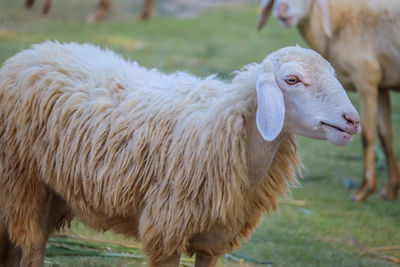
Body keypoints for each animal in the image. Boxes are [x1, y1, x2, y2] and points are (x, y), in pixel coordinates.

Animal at [0, 40, 360, 266]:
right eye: (292, 79)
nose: (353, 120)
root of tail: (30, 53)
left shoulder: (214, 242)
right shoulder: (166, 233)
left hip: (54, 192)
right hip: (23, 181)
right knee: (32, 246)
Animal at [258, 0, 400, 202]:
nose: (282, 10)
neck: (337, 25)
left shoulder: (366, 76)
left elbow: (368, 134)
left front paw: (364, 190)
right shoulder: (381, 85)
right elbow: (386, 136)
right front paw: (390, 190)